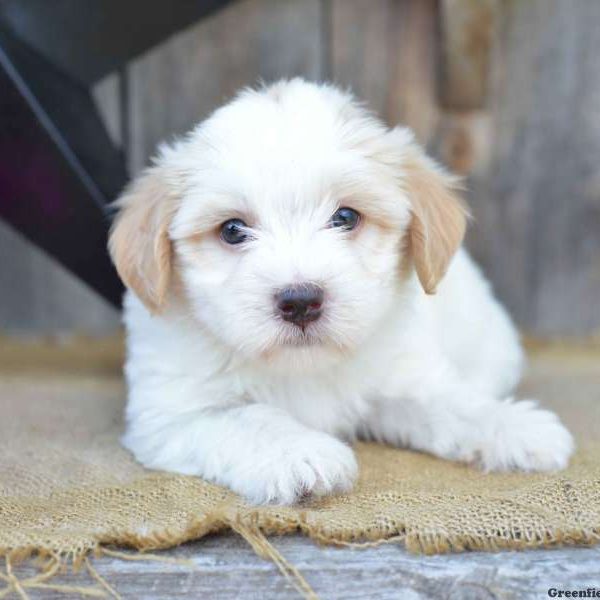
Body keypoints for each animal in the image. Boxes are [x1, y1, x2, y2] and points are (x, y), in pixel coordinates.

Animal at [110, 77, 576, 504]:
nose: (300, 302)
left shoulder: (401, 378)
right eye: (232, 230)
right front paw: (300, 453)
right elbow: (246, 420)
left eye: (346, 217)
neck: (305, 367)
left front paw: (514, 428)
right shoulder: (173, 414)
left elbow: (452, 404)